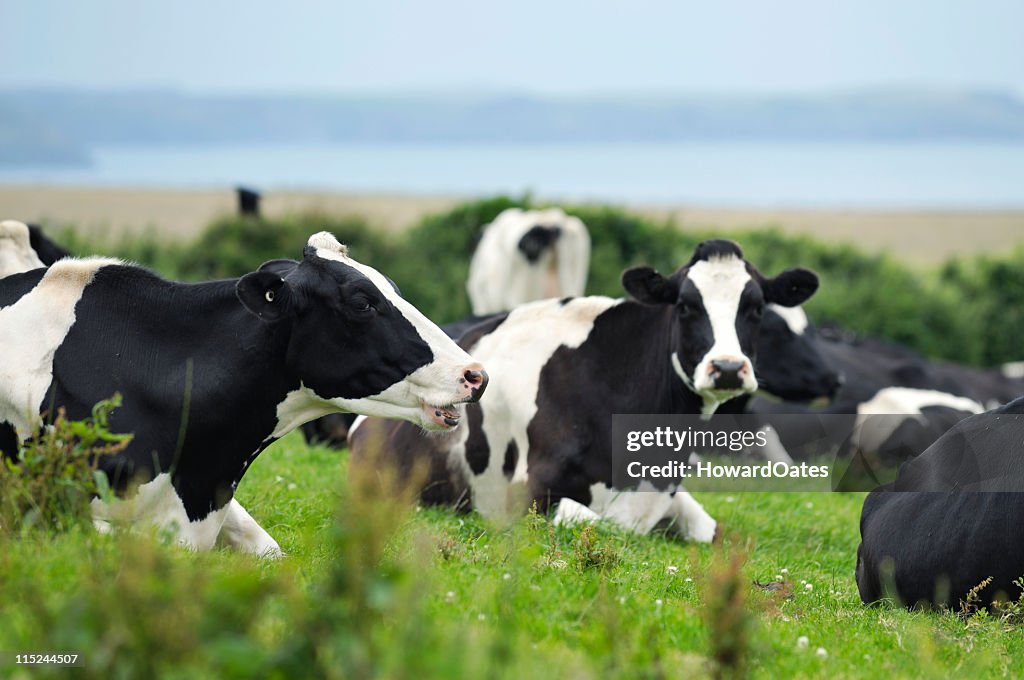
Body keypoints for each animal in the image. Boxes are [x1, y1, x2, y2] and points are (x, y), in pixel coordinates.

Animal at [348, 240, 819, 540]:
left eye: (756, 309)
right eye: (686, 306)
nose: (727, 367)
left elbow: (712, 530)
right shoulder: (527, 495)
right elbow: (589, 518)